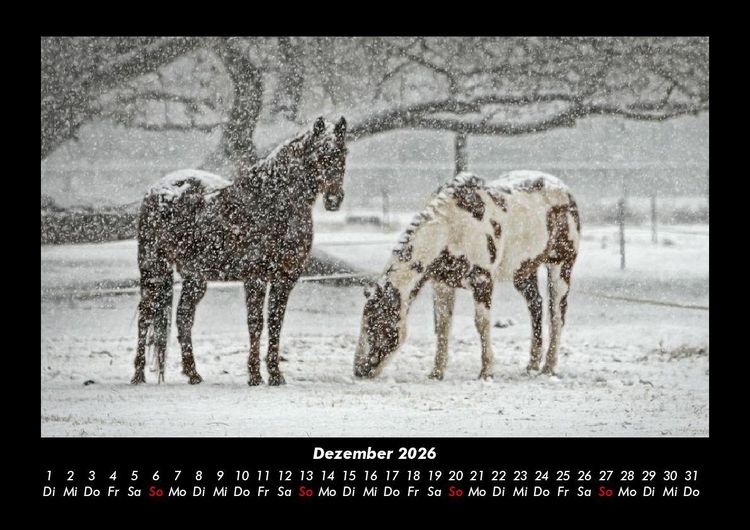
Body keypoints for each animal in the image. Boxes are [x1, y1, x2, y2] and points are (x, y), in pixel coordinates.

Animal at [132, 116, 348, 386]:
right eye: (319, 154)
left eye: (343, 152)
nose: (334, 199)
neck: (273, 203)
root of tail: (157, 189)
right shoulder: (255, 278)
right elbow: (256, 323)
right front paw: (255, 375)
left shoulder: (285, 279)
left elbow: (275, 323)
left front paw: (275, 374)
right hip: (153, 268)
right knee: (145, 315)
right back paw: (138, 374)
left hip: (195, 278)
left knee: (183, 317)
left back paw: (193, 373)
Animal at [353, 170, 580, 381]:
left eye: (376, 324)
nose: (359, 370)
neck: (451, 228)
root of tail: (565, 190)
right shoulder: (442, 284)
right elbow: (443, 326)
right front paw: (436, 372)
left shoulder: (482, 281)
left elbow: (481, 324)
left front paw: (486, 372)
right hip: (523, 272)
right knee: (536, 306)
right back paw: (532, 366)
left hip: (561, 266)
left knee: (557, 314)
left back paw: (548, 367)